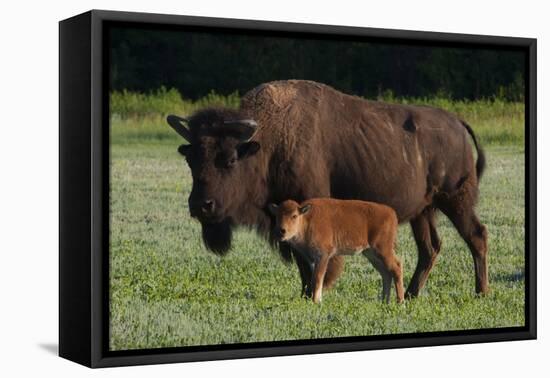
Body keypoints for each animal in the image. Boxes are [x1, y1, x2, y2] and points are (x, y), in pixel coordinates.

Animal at [270, 198, 406, 304]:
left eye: (294, 216)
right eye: (277, 216)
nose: (281, 231)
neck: (306, 220)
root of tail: (391, 213)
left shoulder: (323, 255)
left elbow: (318, 278)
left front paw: (316, 301)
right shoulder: (312, 259)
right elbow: (314, 279)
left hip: (383, 249)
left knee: (396, 267)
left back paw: (400, 302)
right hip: (371, 254)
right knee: (386, 273)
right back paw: (384, 302)